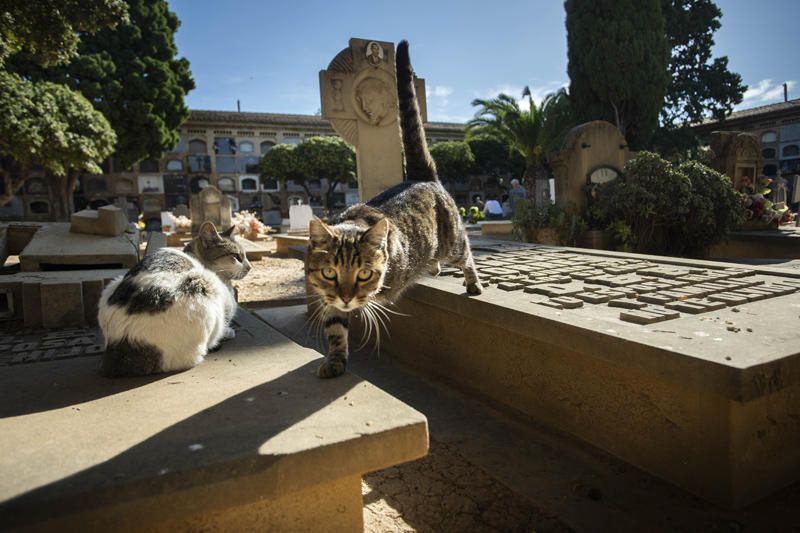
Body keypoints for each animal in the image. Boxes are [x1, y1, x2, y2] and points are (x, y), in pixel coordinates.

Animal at [98, 222, 252, 376]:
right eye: (237, 256)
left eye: (244, 255)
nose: (249, 267)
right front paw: (228, 332)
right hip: (204, 284)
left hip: (112, 284)